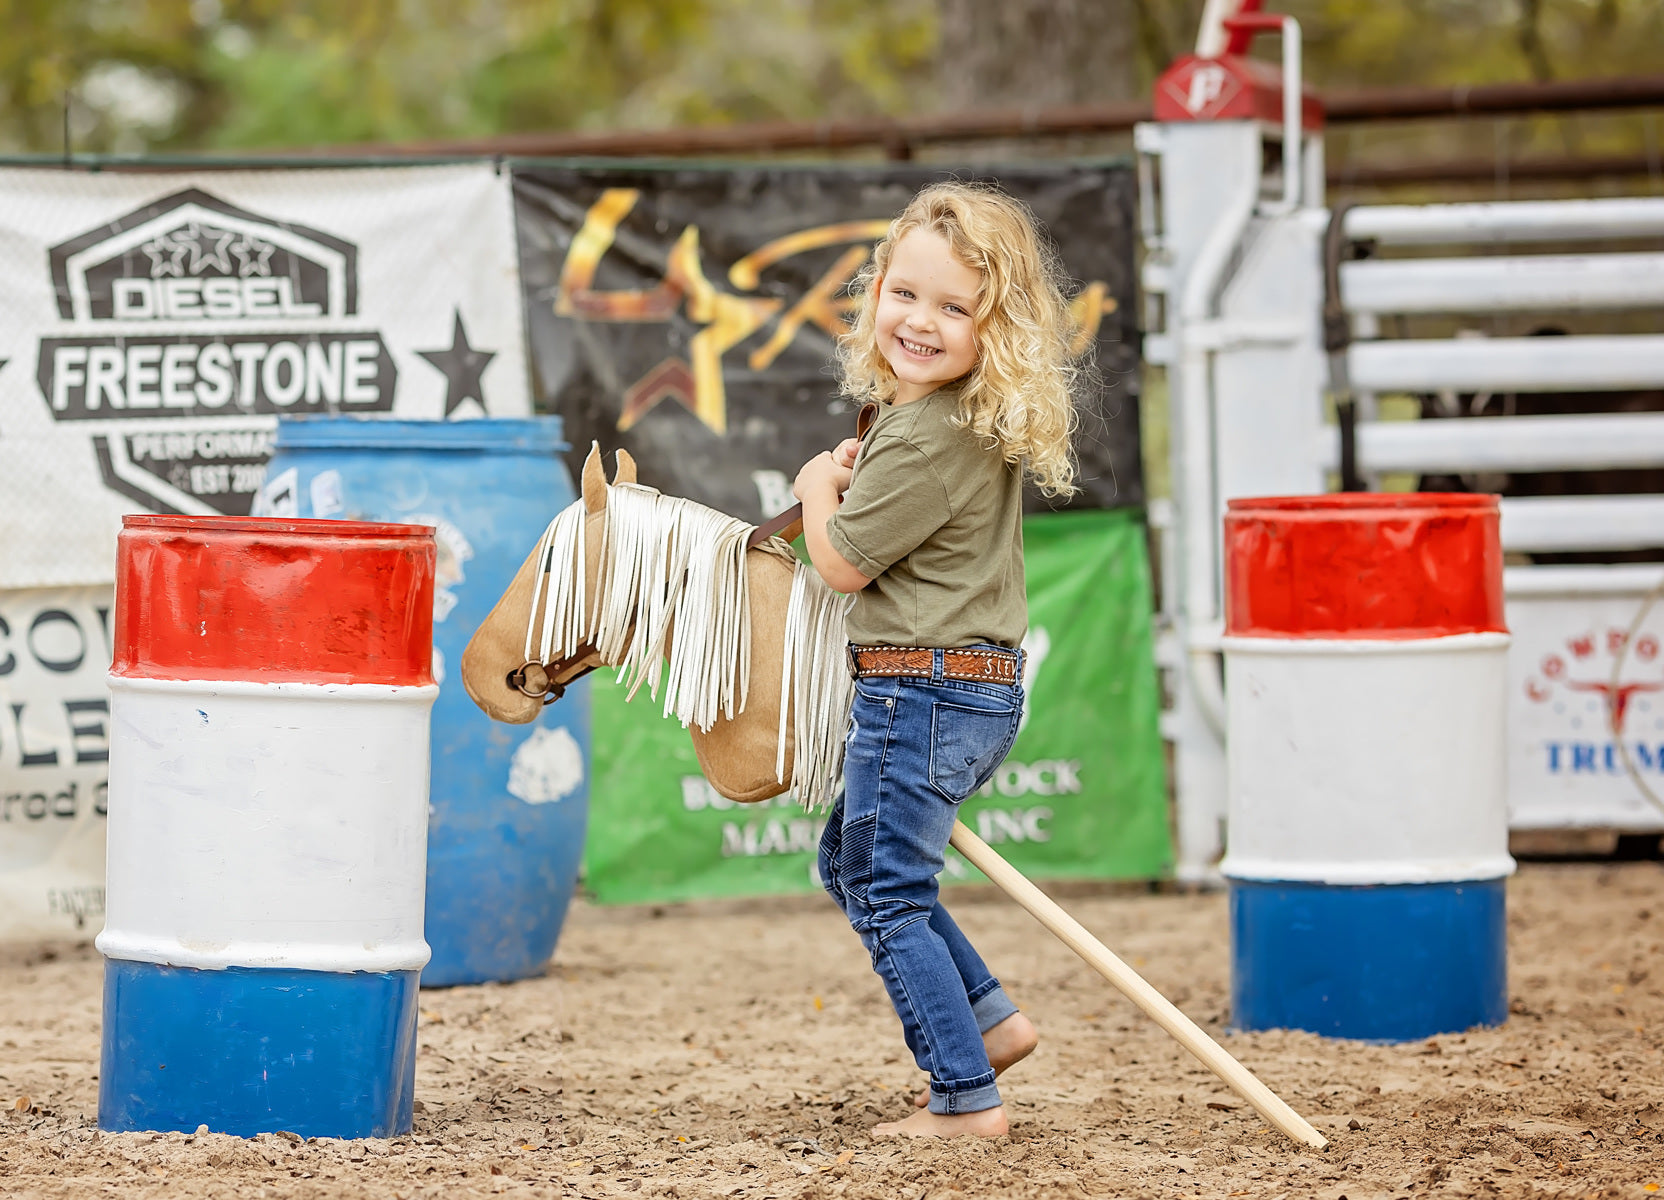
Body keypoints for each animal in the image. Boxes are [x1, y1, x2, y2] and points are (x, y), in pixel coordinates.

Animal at [459, 436, 1324, 1145]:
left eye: (548, 567)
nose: (478, 675)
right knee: (870, 881)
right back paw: (1001, 1045)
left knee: (885, 897)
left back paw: (964, 1113)